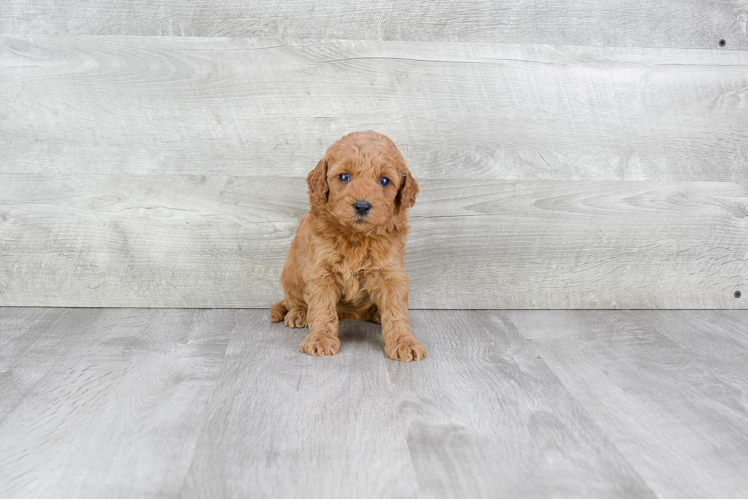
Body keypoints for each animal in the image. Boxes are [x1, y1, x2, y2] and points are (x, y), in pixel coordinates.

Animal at [270, 131, 426, 362]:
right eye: (344, 177)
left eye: (384, 180)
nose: (362, 205)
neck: (356, 236)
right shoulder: (321, 273)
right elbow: (322, 309)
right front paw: (320, 339)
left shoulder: (391, 274)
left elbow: (396, 311)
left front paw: (404, 342)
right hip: (291, 277)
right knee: (293, 301)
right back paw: (298, 313)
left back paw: (377, 313)